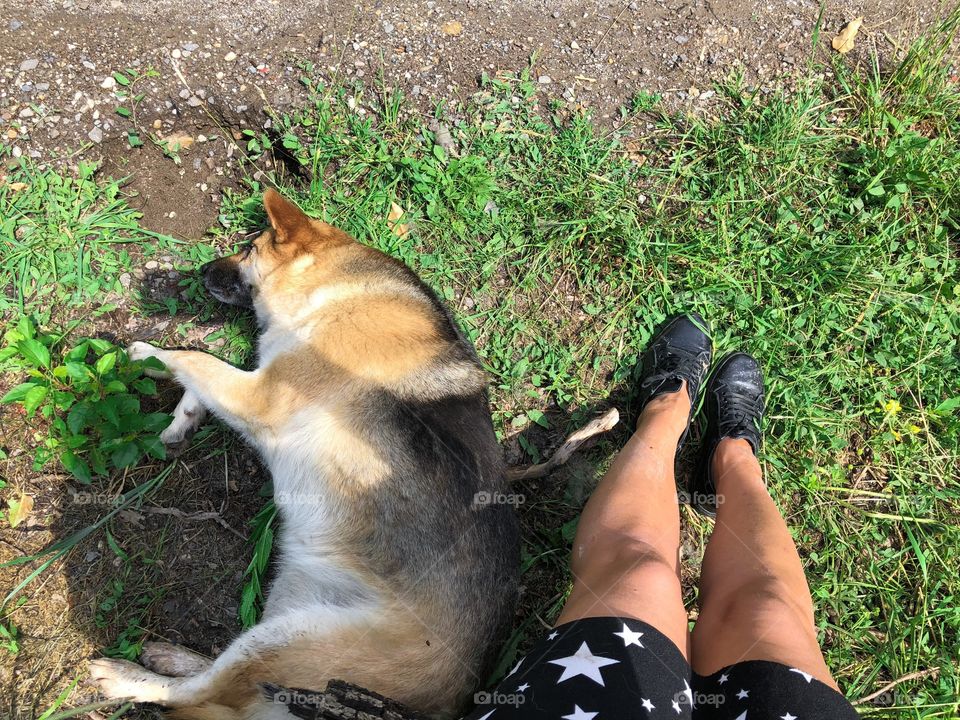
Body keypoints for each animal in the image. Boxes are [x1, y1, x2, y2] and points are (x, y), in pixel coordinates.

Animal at [90, 190, 520, 720]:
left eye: (249, 248)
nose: (203, 270)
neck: (339, 289)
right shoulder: (254, 385)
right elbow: (200, 374)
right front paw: (181, 419)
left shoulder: (261, 395)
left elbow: (194, 356)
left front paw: (145, 353)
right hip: (282, 622)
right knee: (225, 689)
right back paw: (173, 657)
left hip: (291, 639)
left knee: (204, 695)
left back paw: (128, 677)